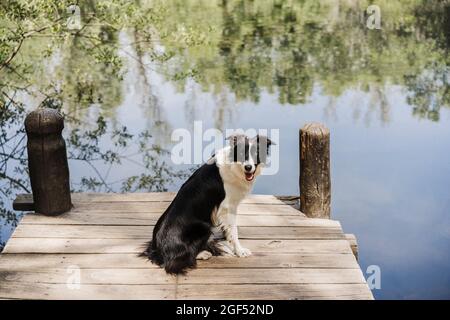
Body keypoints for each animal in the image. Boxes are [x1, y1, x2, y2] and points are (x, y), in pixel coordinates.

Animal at [142, 134, 272, 274]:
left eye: (256, 153)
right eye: (242, 153)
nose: (248, 167)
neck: (234, 166)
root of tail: (159, 251)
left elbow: (227, 230)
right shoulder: (228, 207)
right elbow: (234, 231)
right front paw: (239, 251)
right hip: (204, 227)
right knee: (182, 258)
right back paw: (203, 253)